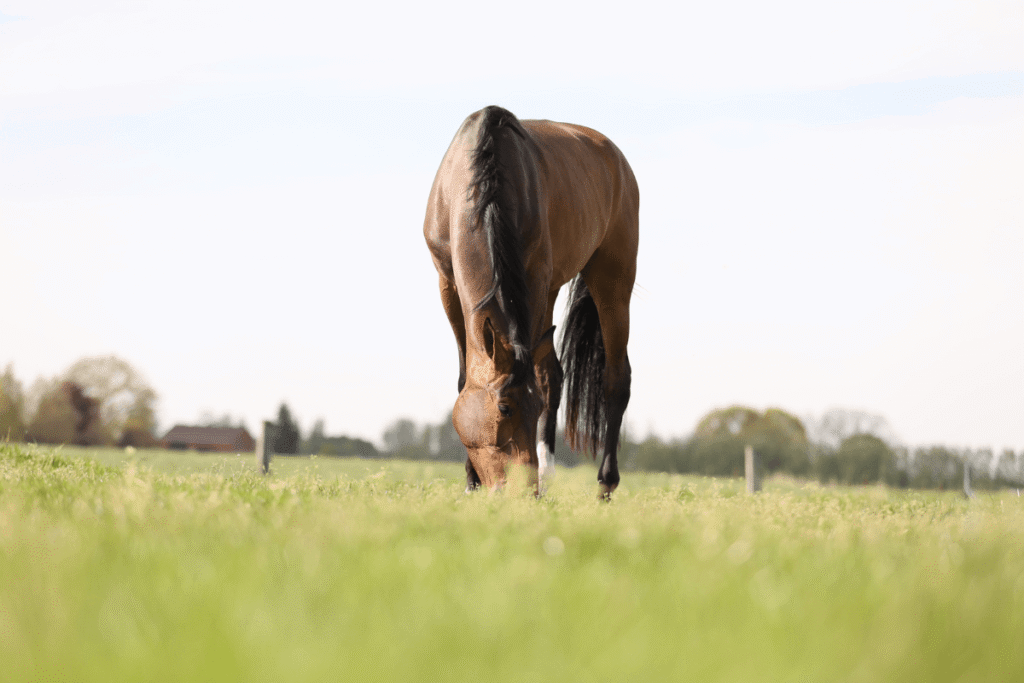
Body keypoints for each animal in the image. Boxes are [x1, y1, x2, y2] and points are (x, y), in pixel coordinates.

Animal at [423, 105, 639, 498]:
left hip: (612, 279)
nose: (523, 491)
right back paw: (549, 476)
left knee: (616, 378)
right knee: (553, 372)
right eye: (505, 408)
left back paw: (604, 483)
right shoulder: (447, 283)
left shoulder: (534, 278)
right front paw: (470, 481)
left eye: (533, 407)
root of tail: (615, 157)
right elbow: (465, 378)